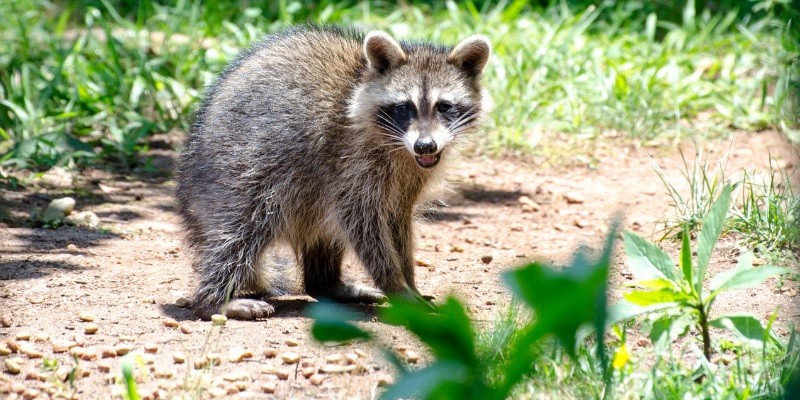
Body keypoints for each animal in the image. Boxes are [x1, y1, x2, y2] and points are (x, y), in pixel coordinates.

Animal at [177, 25, 488, 318]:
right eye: (404, 107)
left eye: (444, 106)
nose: (425, 146)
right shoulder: (350, 160)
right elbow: (361, 220)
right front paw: (397, 285)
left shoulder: (409, 174)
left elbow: (397, 220)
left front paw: (410, 281)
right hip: (239, 170)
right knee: (241, 229)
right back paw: (214, 300)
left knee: (322, 228)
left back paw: (326, 284)